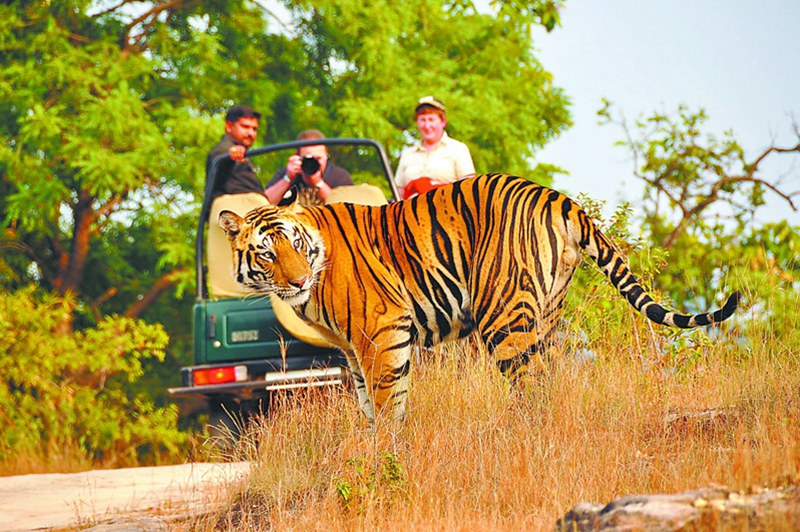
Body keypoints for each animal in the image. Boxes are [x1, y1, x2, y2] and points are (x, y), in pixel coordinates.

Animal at [219, 173, 740, 423]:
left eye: (295, 243)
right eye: (267, 253)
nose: (298, 280)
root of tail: (560, 197)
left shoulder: (382, 333)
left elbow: (388, 406)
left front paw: (385, 459)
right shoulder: (353, 349)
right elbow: (371, 404)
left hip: (503, 317)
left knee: (531, 387)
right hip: (547, 315)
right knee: (552, 380)